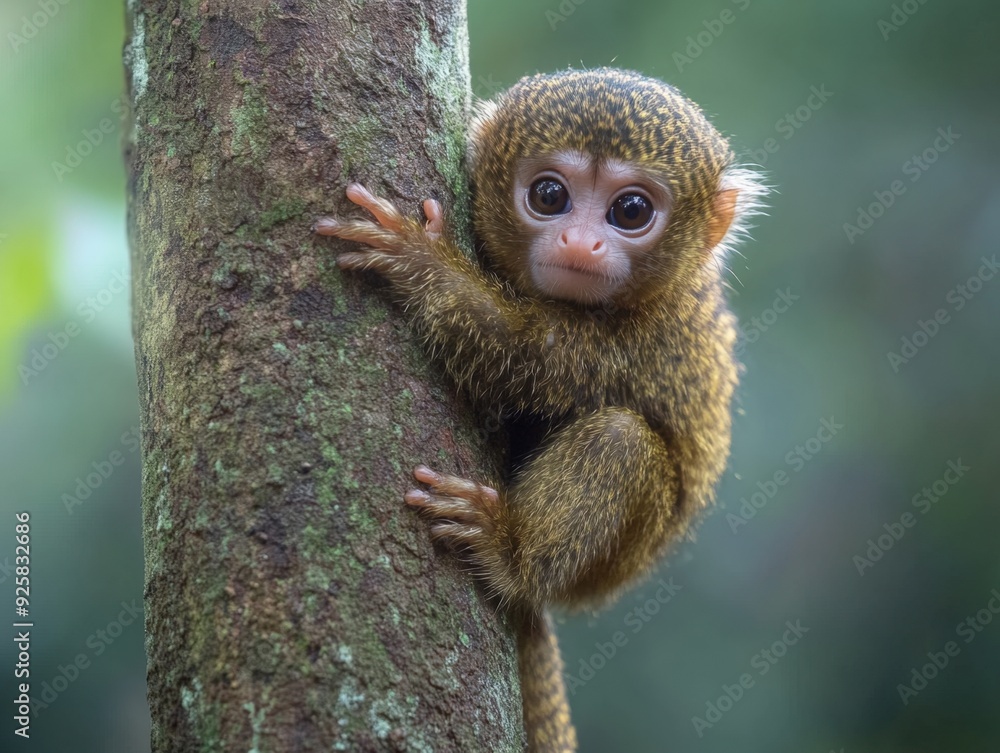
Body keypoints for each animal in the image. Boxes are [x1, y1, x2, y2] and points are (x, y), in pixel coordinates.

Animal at [315, 67, 765, 752]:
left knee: (620, 439)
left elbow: (522, 358)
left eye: (631, 211)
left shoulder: (643, 339)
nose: (581, 242)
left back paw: (510, 556)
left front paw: (418, 262)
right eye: (549, 195)